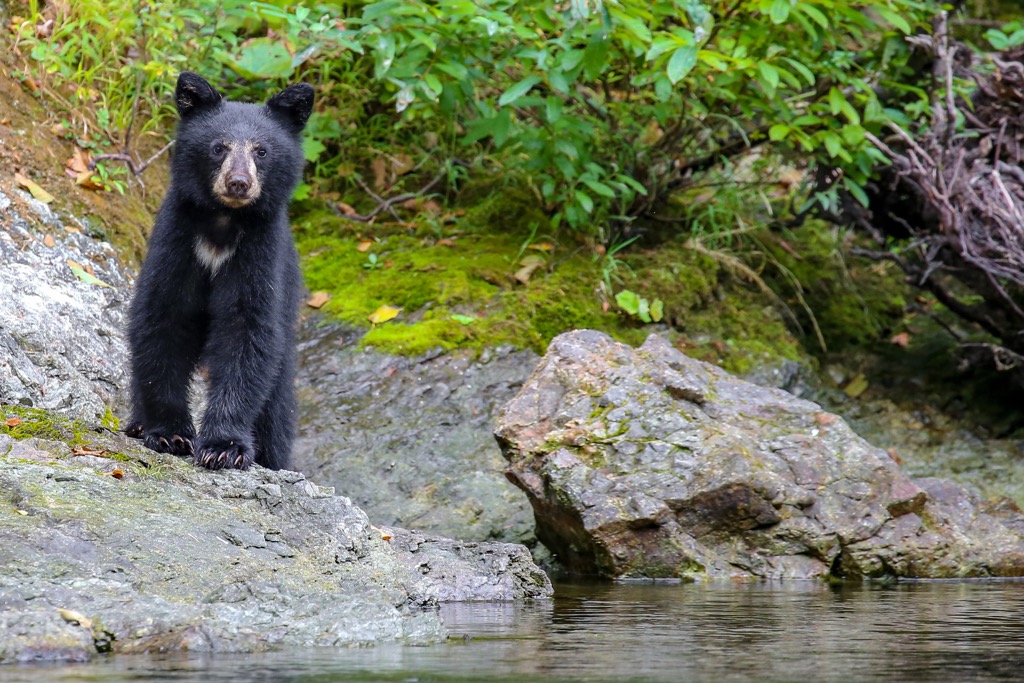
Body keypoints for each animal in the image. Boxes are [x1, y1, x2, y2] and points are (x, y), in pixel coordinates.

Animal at [125, 72, 313, 471]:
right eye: (218, 148)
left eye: (261, 151)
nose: (238, 183)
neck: (223, 222)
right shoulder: (177, 240)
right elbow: (162, 317)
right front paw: (169, 433)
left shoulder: (259, 252)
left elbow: (247, 331)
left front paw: (224, 446)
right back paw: (137, 423)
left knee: (277, 407)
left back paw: (271, 456)